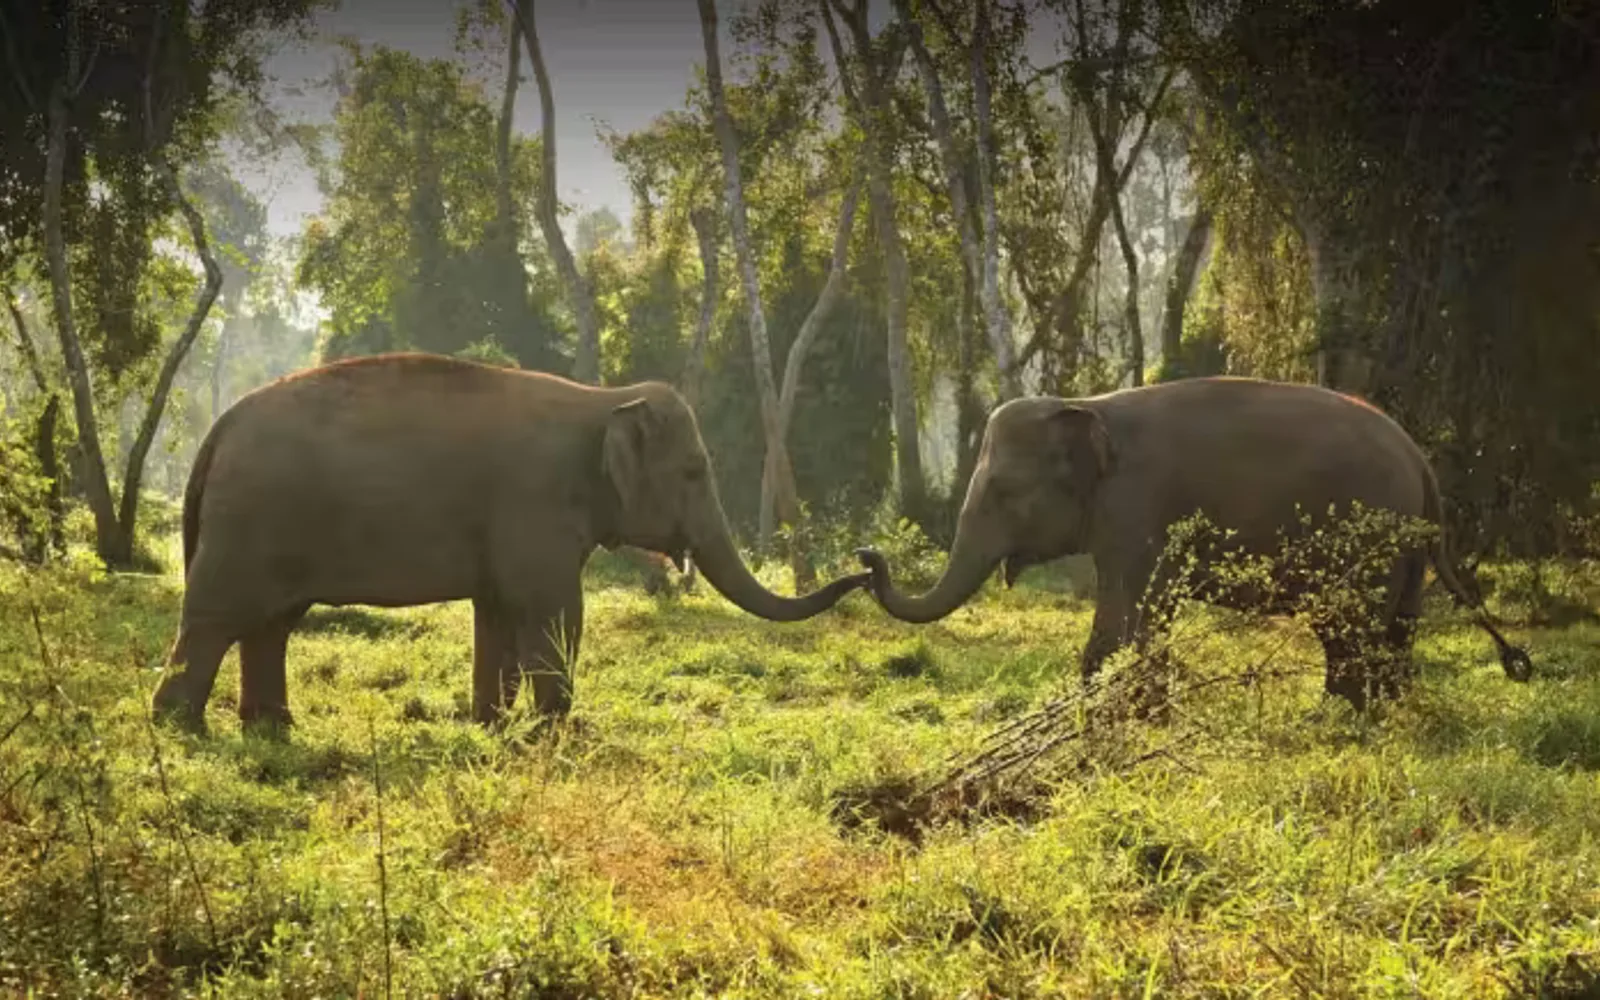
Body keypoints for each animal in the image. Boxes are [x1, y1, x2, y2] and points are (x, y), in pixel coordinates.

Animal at [153, 353, 868, 732]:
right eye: (694, 471)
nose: (868, 565)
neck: (604, 401)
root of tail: (216, 431)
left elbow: (496, 612)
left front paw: (490, 726)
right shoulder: (535, 505)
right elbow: (553, 609)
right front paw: (555, 730)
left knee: (271, 623)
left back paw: (271, 728)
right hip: (249, 524)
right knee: (217, 618)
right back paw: (182, 728)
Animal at [855, 377, 1532, 708]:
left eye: (1002, 490)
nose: (866, 557)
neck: (1086, 405)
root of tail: (1419, 460)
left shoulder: (1137, 506)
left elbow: (1125, 613)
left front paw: (1113, 716)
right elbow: (1146, 616)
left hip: (1367, 538)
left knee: (1349, 627)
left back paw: (1338, 718)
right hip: (1403, 547)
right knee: (1393, 628)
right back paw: (1377, 714)